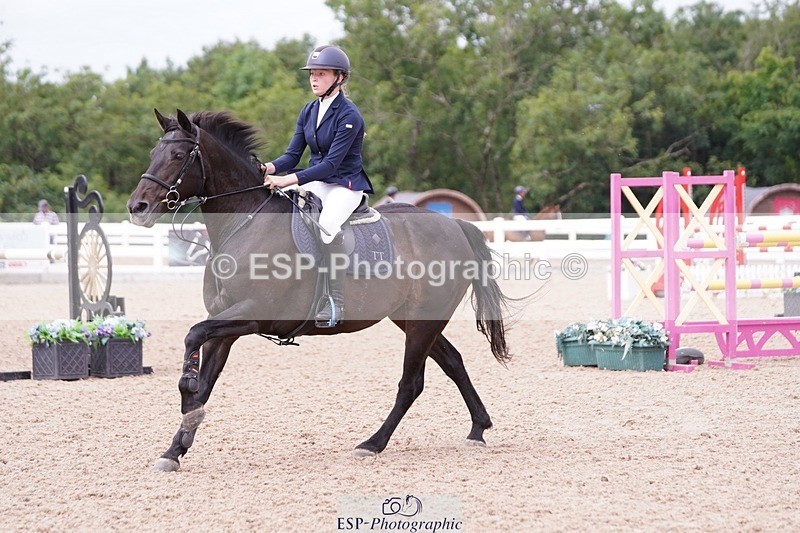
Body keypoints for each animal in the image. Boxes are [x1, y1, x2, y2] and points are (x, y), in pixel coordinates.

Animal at [127, 109, 515, 472]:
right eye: (152, 153)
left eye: (179, 155)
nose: (136, 207)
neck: (245, 223)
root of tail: (455, 225)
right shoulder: (224, 322)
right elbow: (205, 382)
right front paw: (175, 449)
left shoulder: (250, 315)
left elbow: (192, 340)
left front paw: (185, 401)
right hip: (411, 318)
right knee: (453, 362)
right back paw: (478, 429)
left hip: (421, 322)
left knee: (411, 383)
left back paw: (372, 443)